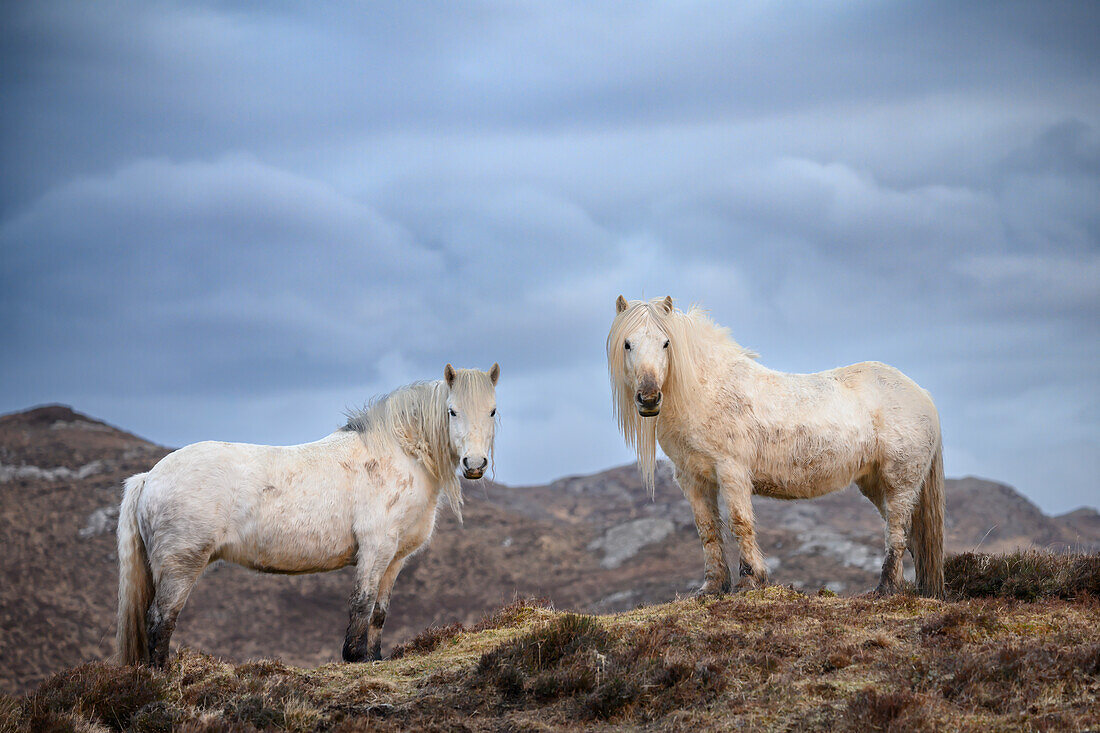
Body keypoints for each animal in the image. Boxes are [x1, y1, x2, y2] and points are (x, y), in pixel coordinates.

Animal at [114, 363, 499, 664]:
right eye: (452, 411)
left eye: (493, 411)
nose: (474, 465)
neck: (399, 453)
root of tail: (149, 477)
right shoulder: (374, 550)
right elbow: (361, 605)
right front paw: (355, 659)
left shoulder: (394, 559)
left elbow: (379, 613)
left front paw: (374, 659)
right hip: (180, 566)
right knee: (160, 621)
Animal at [611, 294, 946, 598]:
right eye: (627, 344)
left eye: (666, 343)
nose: (649, 398)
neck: (705, 390)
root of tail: (923, 395)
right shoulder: (693, 479)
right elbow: (707, 531)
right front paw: (712, 587)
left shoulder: (732, 471)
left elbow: (740, 523)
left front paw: (750, 581)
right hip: (874, 484)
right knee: (910, 536)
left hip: (899, 483)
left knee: (897, 532)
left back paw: (885, 589)